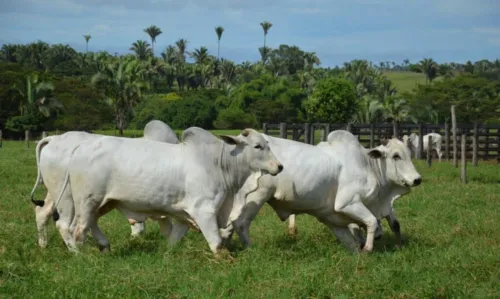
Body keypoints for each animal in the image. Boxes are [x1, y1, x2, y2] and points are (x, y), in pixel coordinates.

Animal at [52, 127, 284, 254]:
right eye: (257, 146)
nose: (279, 166)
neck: (218, 163)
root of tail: (82, 147)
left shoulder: (184, 215)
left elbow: (174, 239)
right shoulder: (204, 210)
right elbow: (217, 243)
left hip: (104, 202)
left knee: (89, 223)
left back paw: (104, 245)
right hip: (86, 201)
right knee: (74, 228)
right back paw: (79, 254)